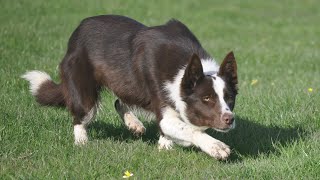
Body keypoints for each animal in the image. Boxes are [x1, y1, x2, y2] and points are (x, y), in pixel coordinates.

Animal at [22, 15, 238, 159]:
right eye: (207, 98)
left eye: (229, 97)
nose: (229, 119)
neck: (183, 68)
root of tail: (77, 30)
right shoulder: (164, 103)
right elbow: (189, 129)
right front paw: (216, 147)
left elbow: (173, 129)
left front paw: (164, 146)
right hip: (83, 89)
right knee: (81, 115)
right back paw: (82, 142)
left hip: (128, 83)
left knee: (119, 101)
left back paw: (133, 124)